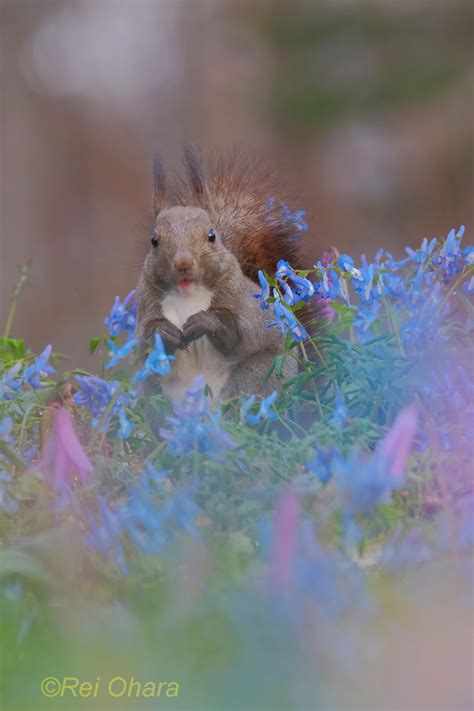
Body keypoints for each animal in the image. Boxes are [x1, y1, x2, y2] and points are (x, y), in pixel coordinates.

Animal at [134, 149, 318, 406]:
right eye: (154, 240)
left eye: (212, 235)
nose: (183, 264)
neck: (188, 296)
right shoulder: (147, 306)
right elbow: (145, 345)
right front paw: (163, 332)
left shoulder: (242, 301)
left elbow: (240, 336)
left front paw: (208, 321)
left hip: (261, 373)